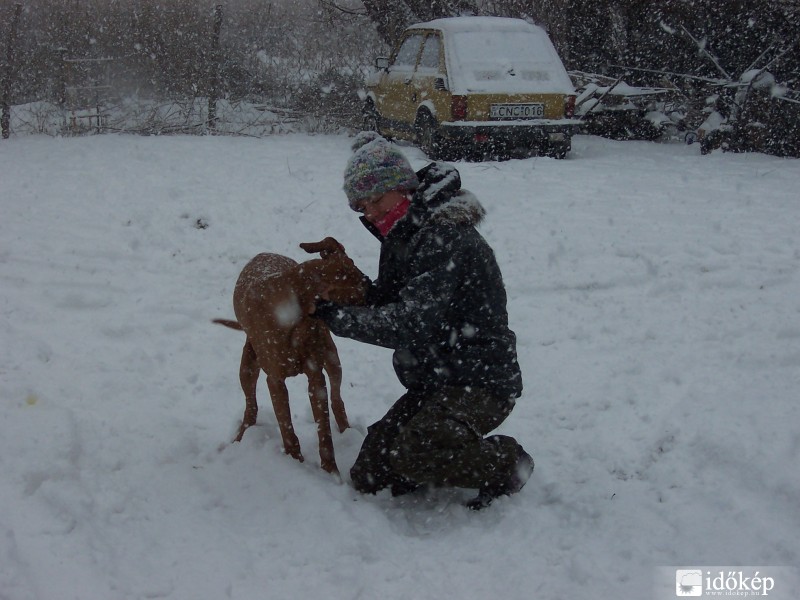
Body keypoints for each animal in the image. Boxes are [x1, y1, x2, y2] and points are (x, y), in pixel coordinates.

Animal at [217, 238, 370, 474]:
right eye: (354, 293)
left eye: (353, 264)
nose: (371, 284)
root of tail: (263, 254)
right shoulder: (275, 381)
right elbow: (286, 427)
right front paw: (295, 461)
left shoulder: (316, 376)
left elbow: (324, 432)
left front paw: (331, 471)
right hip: (248, 365)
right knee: (250, 405)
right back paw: (240, 436)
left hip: (332, 357)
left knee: (337, 398)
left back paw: (346, 430)